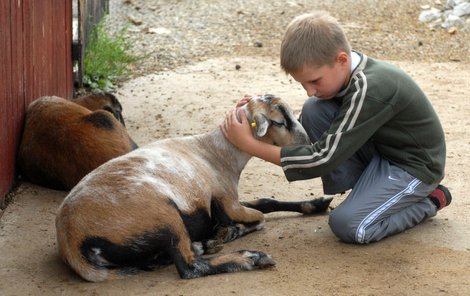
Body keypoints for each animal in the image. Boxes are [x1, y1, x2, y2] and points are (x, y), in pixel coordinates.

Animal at [56, 95, 334, 282]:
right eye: (280, 121)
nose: (307, 141)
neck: (215, 152)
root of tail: (71, 240)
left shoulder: (231, 198)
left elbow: (265, 202)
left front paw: (317, 203)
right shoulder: (228, 202)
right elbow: (259, 217)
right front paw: (229, 232)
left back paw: (203, 246)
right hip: (164, 215)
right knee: (189, 267)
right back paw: (249, 257)